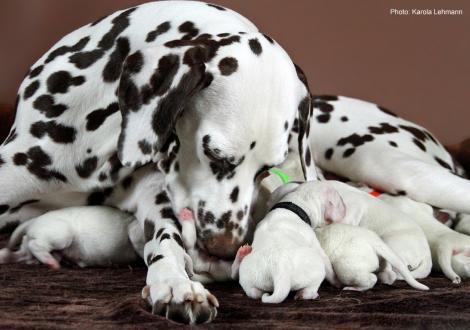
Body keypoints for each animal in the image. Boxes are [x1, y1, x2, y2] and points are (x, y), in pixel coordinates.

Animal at [0, 206, 145, 268]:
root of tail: (33, 221)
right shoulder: (135, 229)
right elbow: (139, 243)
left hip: (29, 250)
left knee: (13, 254)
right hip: (62, 234)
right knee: (35, 245)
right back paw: (51, 262)